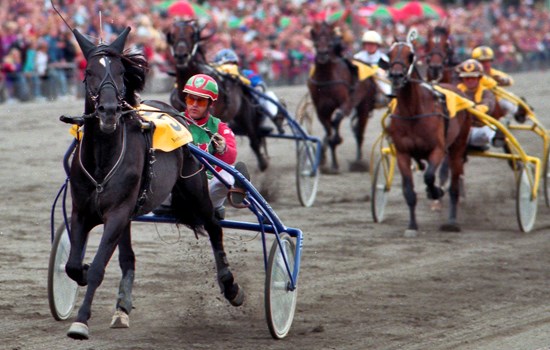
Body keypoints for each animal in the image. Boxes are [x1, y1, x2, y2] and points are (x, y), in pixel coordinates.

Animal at [63, 26, 244, 340]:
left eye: (120, 71)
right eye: (89, 72)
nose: (108, 110)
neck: (103, 158)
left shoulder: (117, 213)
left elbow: (98, 267)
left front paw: (81, 321)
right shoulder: (82, 211)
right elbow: (73, 265)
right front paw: (82, 273)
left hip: (195, 188)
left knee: (213, 226)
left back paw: (230, 286)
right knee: (128, 258)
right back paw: (121, 308)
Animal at [168, 20, 272, 171]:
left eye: (192, 35)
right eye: (172, 35)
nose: (181, 56)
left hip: (244, 113)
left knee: (253, 137)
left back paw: (262, 163)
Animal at [308, 20, 382, 174]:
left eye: (330, 40)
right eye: (316, 41)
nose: (322, 55)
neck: (326, 79)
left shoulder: (346, 103)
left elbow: (336, 121)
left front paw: (337, 140)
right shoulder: (321, 109)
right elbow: (328, 129)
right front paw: (331, 163)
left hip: (364, 105)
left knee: (359, 132)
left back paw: (358, 162)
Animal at [380, 28, 474, 234]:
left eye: (411, 55)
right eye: (389, 54)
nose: (397, 76)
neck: (413, 112)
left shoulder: (437, 149)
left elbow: (430, 176)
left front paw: (435, 191)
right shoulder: (403, 153)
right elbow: (408, 191)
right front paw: (412, 226)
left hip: (457, 146)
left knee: (454, 185)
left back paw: (451, 221)